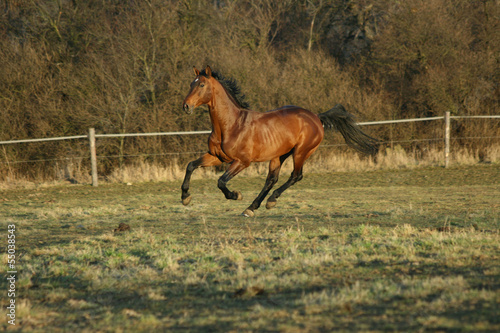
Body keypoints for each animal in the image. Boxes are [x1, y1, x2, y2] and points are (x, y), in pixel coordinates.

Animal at [180, 65, 376, 217]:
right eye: (191, 84)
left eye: (202, 84)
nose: (186, 106)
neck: (231, 124)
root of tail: (315, 117)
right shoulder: (217, 157)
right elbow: (191, 165)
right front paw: (185, 197)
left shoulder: (242, 161)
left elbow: (221, 181)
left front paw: (236, 195)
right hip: (279, 155)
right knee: (271, 179)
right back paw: (251, 208)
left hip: (301, 152)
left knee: (296, 175)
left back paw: (271, 200)